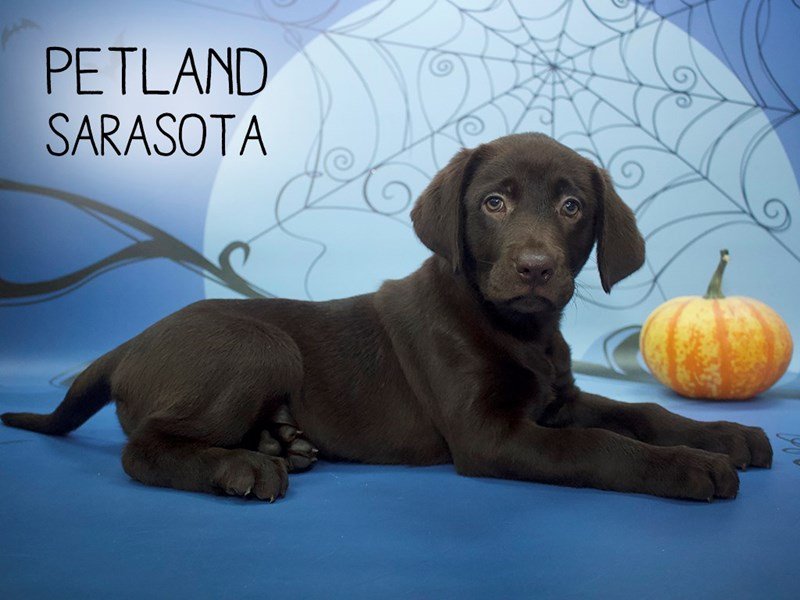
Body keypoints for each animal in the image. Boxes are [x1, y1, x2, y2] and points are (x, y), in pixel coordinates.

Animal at [2, 133, 772, 502]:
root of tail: (131, 342)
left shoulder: (559, 400)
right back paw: (244, 467)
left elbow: (641, 414)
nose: (534, 268)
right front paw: (690, 467)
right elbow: (604, 447)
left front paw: (724, 435)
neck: (519, 331)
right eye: (494, 202)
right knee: (143, 448)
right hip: (257, 345)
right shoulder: (491, 436)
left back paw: (283, 442)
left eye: (571, 206)